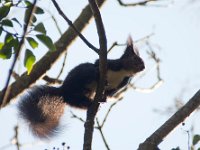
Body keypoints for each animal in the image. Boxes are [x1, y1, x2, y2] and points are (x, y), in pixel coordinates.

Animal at [17, 36, 145, 138]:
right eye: (136, 59)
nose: (143, 67)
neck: (124, 72)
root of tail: (63, 90)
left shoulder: (121, 84)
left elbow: (109, 93)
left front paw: (104, 98)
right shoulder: (111, 64)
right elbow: (97, 63)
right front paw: (100, 77)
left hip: (77, 99)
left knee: (81, 101)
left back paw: (92, 103)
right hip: (82, 74)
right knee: (90, 71)